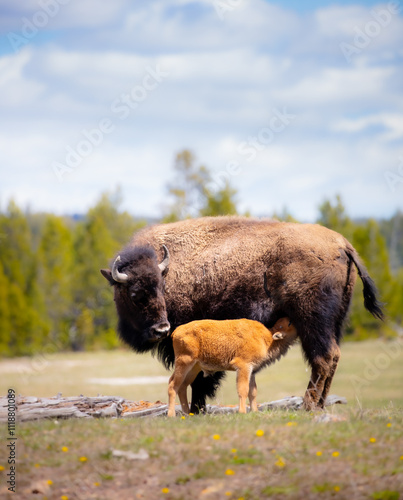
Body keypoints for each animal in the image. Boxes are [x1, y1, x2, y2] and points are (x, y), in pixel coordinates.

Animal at [167, 318, 296, 416]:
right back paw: (171, 415)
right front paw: (242, 412)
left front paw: (254, 411)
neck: (267, 337)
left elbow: (253, 391)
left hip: (194, 368)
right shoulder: (244, 366)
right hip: (184, 363)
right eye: (288, 324)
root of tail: (176, 331)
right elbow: (243, 389)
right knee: (173, 385)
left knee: (182, 386)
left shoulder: (252, 371)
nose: (292, 319)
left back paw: (187, 414)